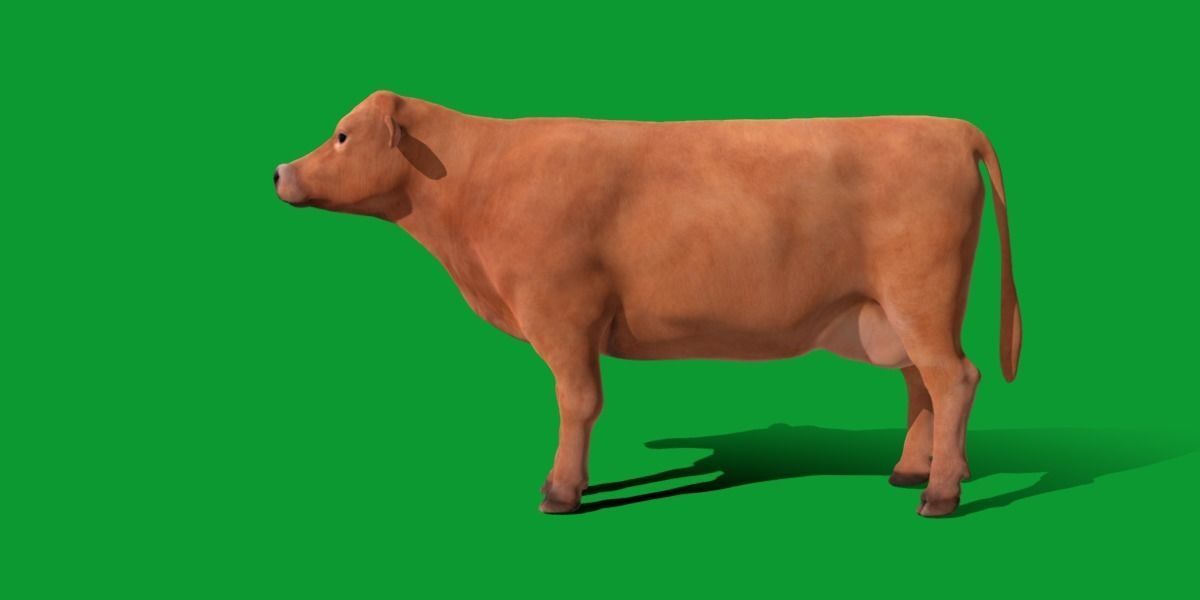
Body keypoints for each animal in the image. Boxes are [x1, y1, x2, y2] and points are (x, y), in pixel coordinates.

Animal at [273, 91, 1022, 517]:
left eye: (342, 135)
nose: (279, 171)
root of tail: (950, 126)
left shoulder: (563, 312)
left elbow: (578, 403)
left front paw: (561, 492)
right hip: (900, 310)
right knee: (921, 385)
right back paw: (911, 471)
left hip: (919, 294)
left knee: (954, 379)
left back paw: (940, 494)